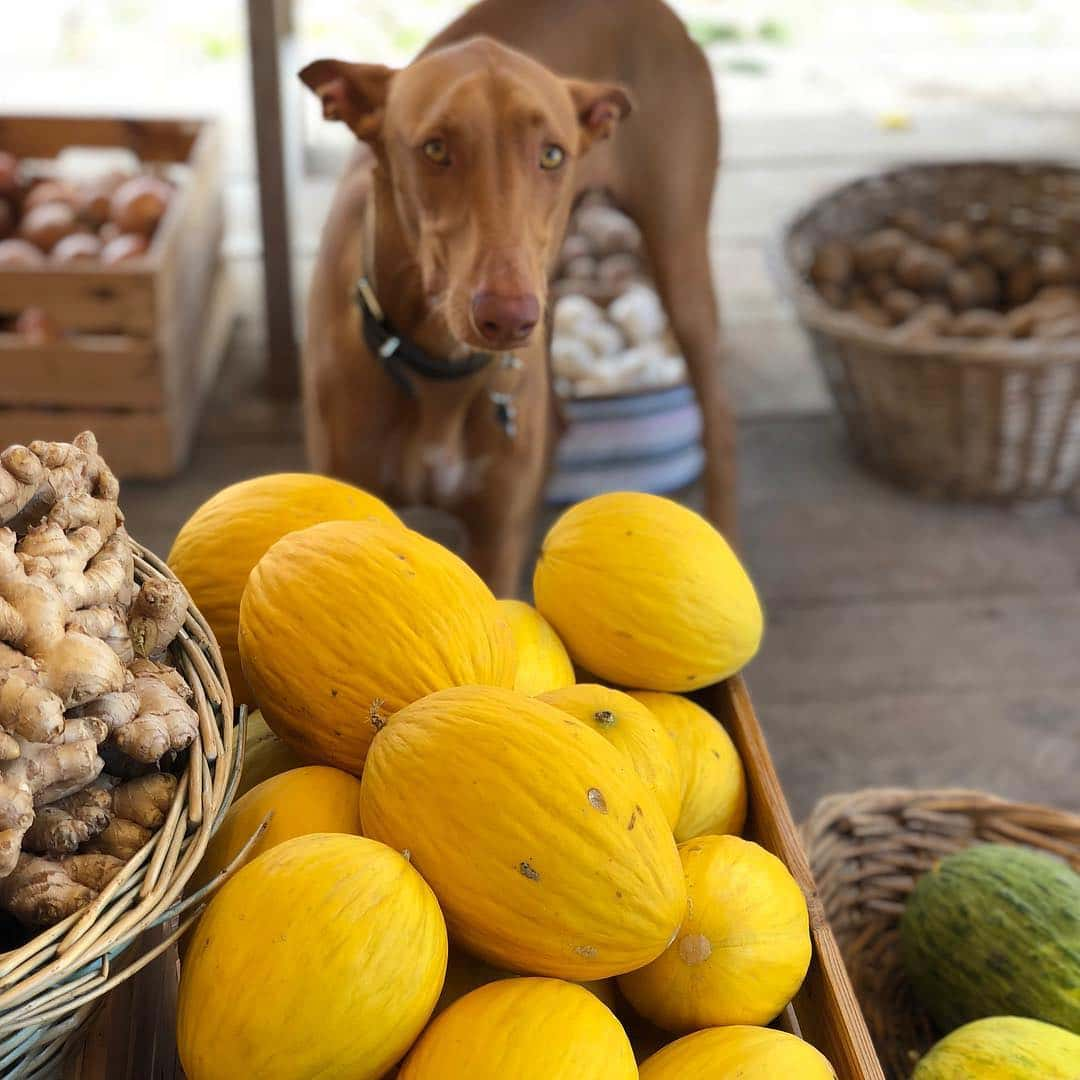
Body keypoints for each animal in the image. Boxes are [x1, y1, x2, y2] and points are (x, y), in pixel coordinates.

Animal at [300, 0, 730, 591]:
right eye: (435, 148)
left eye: (551, 155)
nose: (507, 318)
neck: (440, 370)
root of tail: (656, 11)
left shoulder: (495, 542)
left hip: (680, 267)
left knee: (721, 429)